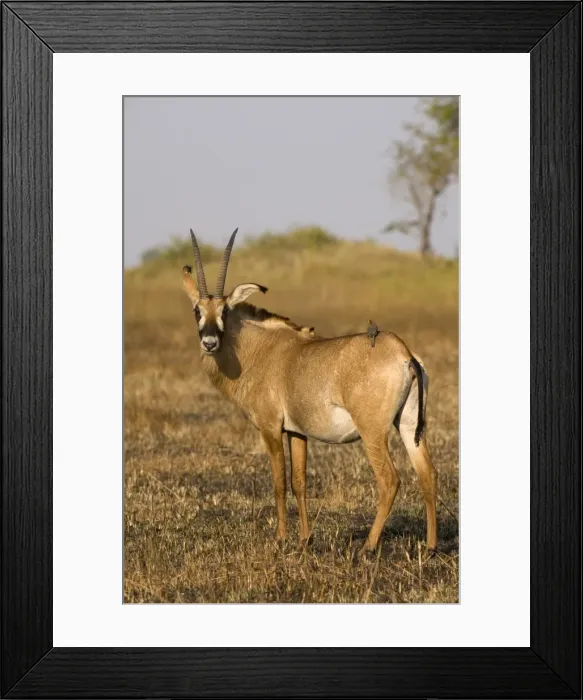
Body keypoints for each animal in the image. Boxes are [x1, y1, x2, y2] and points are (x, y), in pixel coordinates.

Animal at [182, 228, 438, 556]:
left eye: (224, 310)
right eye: (197, 310)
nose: (210, 342)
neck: (260, 350)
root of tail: (403, 351)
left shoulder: (269, 427)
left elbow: (279, 481)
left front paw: (280, 539)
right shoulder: (296, 432)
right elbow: (299, 482)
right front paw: (305, 539)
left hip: (373, 432)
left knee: (389, 480)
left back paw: (368, 547)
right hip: (407, 425)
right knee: (427, 474)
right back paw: (430, 547)